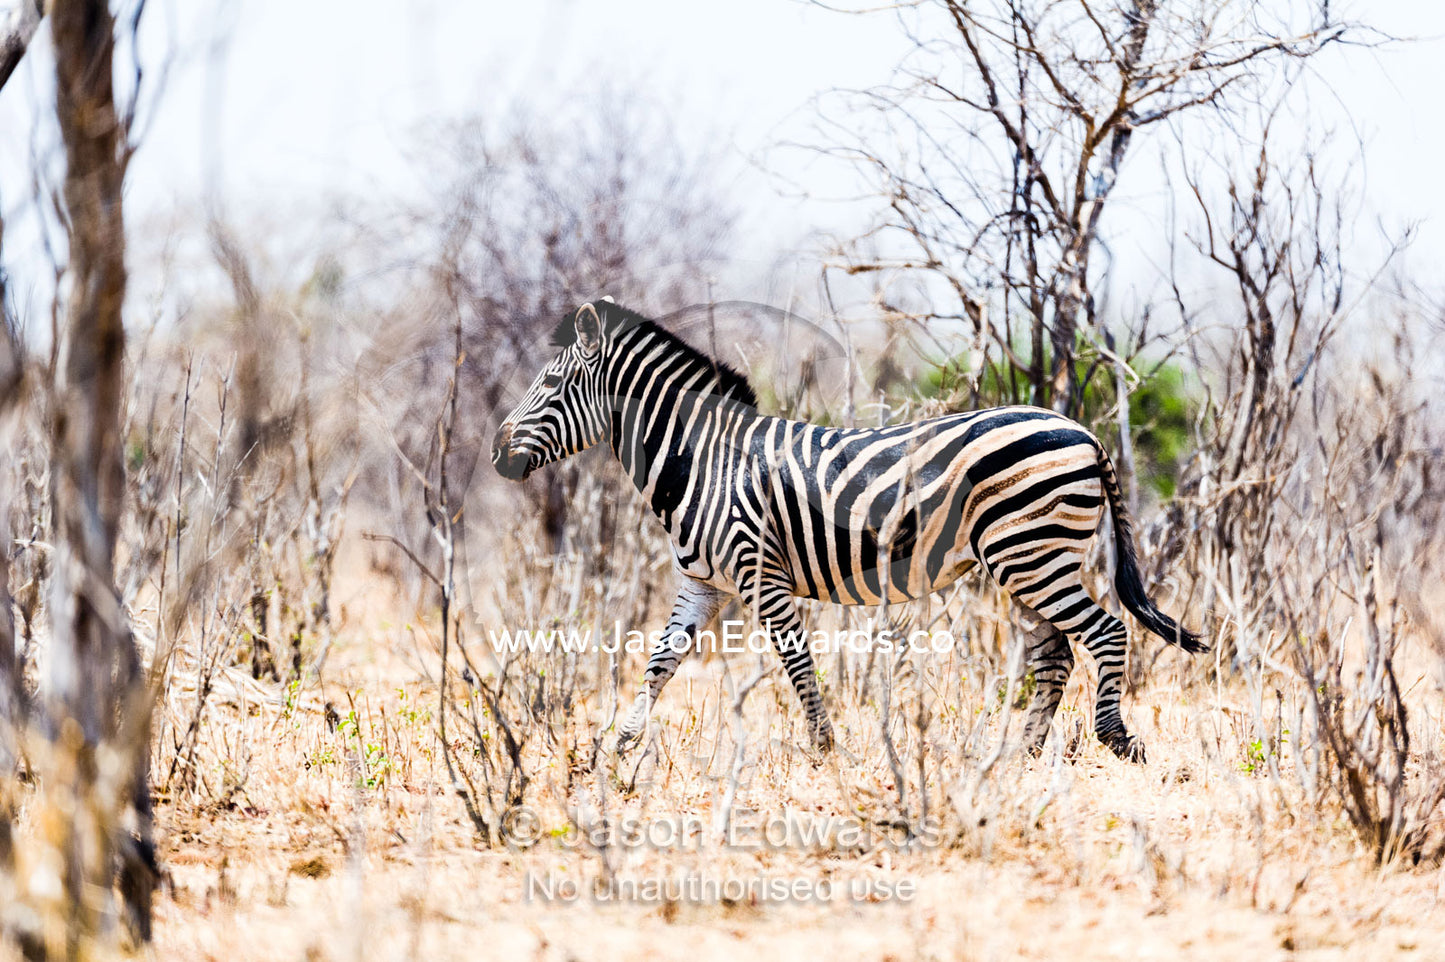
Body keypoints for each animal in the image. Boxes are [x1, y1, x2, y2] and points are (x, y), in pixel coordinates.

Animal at [491, 301, 1203, 762]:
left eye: (549, 384)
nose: (497, 455)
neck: (704, 459)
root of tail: (1084, 431)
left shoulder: (760, 572)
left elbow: (796, 661)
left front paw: (825, 750)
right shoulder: (703, 582)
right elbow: (661, 662)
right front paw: (614, 750)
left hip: (1031, 555)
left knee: (1104, 632)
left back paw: (1115, 740)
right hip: (1027, 561)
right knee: (1055, 652)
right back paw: (1019, 758)